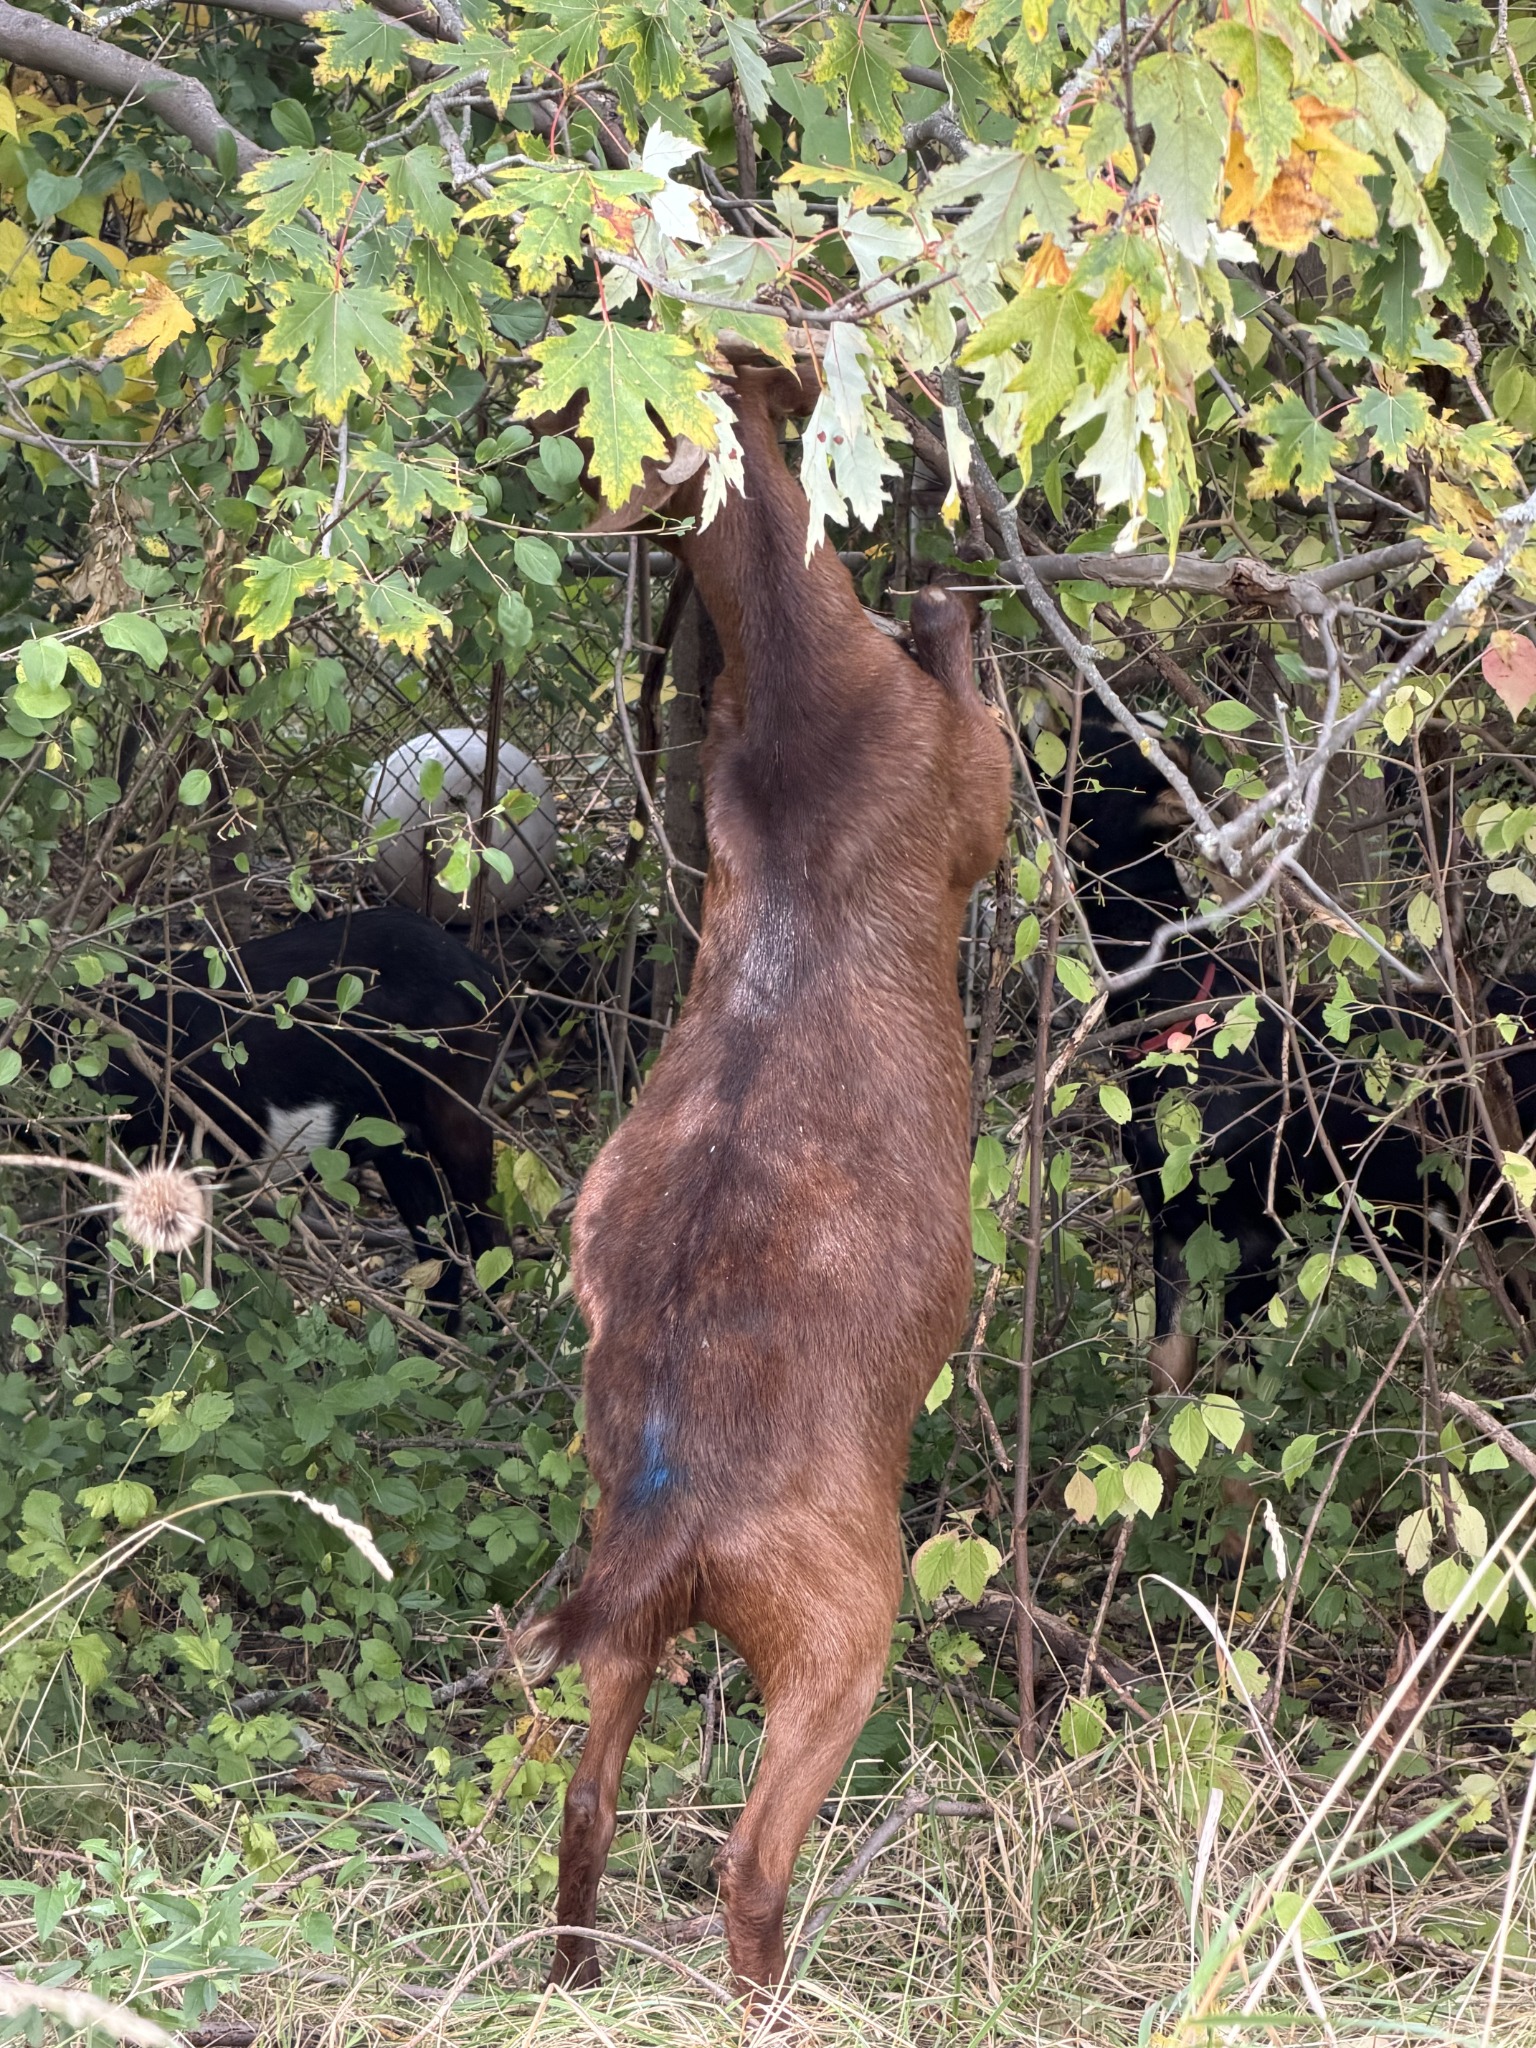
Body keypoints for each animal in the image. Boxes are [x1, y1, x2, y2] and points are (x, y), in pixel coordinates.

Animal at [42, 908, 504, 1325]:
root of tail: (484, 977)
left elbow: (84, 1257)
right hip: (396, 1137)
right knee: (439, 1243)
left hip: (454, 1111)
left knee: (487, 1231)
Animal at [515, 363, 1013, 2002]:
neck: (800, 682)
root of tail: (675, 1528)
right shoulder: (972, 790)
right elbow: (971, 704)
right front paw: (946, 593)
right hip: (842, 1625)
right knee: (746, 1859)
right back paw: (775, 1999)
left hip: (619, 1627)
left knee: (585, 1804)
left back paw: (573, 1987)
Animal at [1052, 709, 1536, 1541]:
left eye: (1103, 759)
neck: (1176, 1013)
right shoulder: (1173, 1232)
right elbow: (1168, 1379)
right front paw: (1159, 1523)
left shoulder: (1255, 1238)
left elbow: (1235, 1403)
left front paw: (1241, 1537)